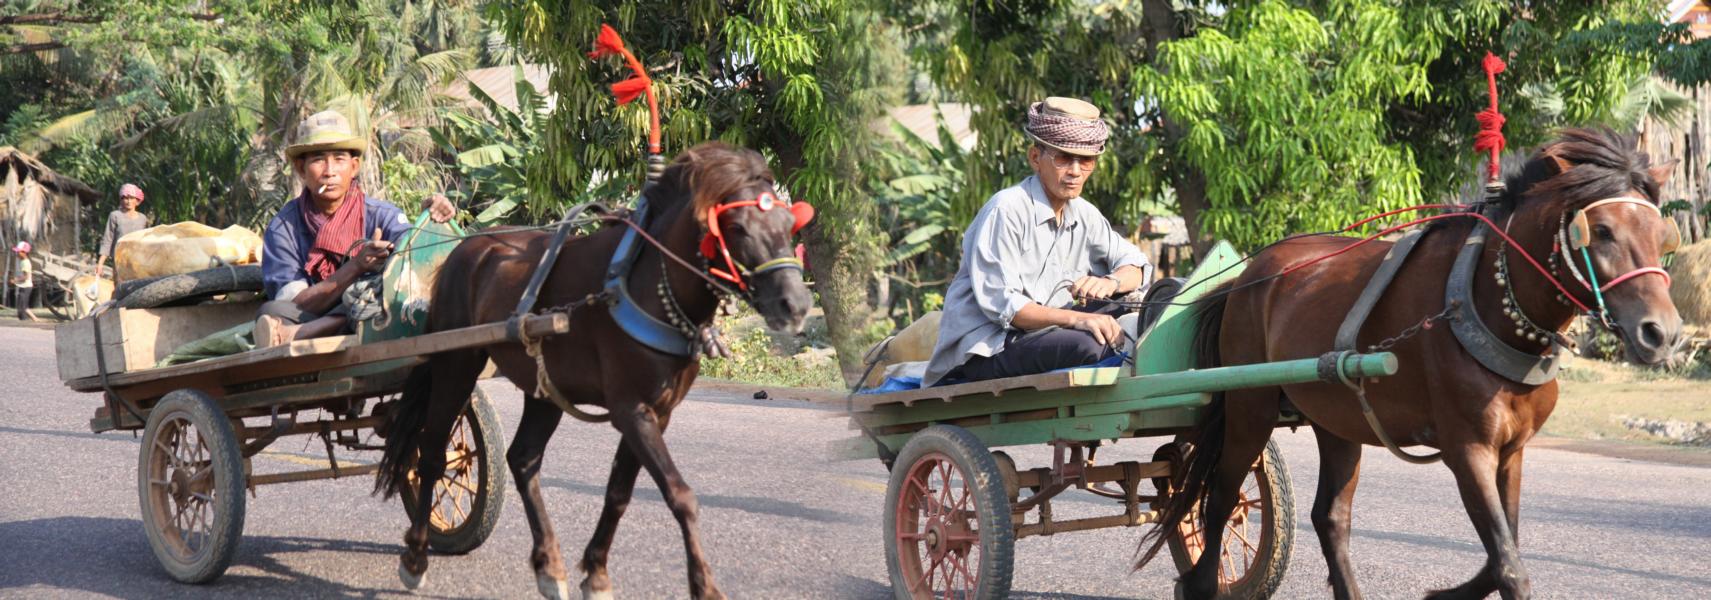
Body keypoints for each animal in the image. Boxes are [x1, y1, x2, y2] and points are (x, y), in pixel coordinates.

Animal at [379, 141, 814, 600]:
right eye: (738, 228)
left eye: (790, 223)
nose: (796, 304)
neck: (645, 282)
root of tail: (463, 250)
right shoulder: (631, 410)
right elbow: (680, 495)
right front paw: (705, 585)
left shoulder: (655, 412)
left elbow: (618, 493)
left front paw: (597, 573)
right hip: (456, 362)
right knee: (431, 452)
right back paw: (415, 557)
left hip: (544, 388)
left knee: (523, 460)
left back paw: (549, 564)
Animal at [1136, 129, 1683, 598]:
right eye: (1602, 230)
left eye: (1663, 235)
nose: (1662, 333)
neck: (1486, 302)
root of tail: (1247, 276)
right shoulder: (1467, 449)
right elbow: (1508, 565)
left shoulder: (1512, 451)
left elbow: (1501, 554)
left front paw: (1445, 594)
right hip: (1250, 407)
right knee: (1220, 498)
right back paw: (1201, 582)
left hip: (1337, 418)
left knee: (1330, 518)